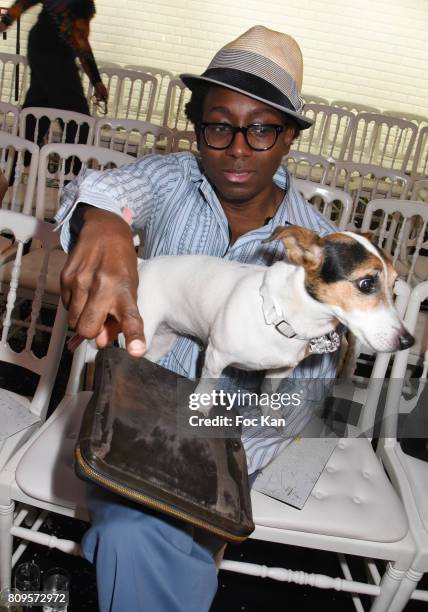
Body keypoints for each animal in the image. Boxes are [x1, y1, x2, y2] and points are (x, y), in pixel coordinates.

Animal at [136, 225, 414, 416]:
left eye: (394, 284)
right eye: (366, 283)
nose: (408, 341)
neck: (280, 317)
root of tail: (143, 263)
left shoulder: (281, 370)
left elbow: (269, 390)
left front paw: (268, 409)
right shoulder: (216, 358)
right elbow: (208, 385)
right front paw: (202, 407)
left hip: (162, 341)